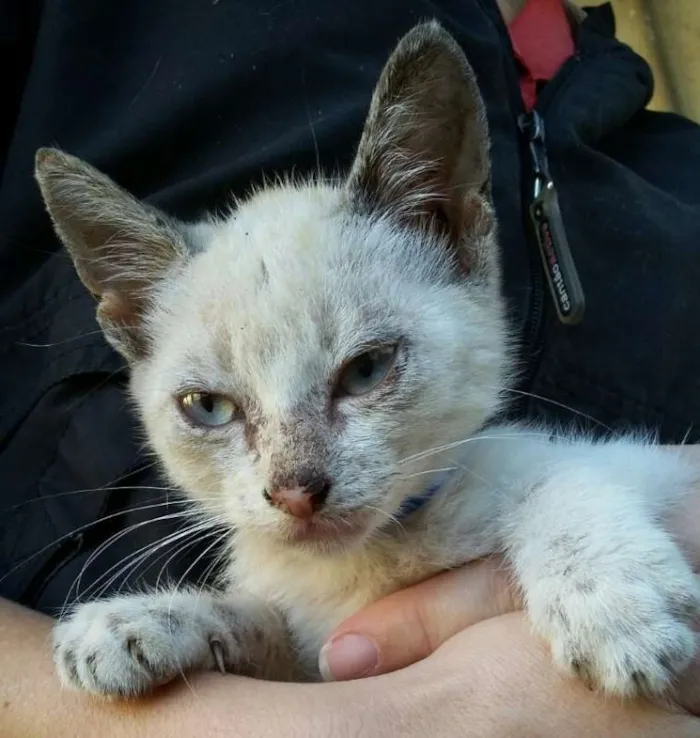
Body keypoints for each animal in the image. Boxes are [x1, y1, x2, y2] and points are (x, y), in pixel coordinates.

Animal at [37, 21, 700, 700]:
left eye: (366, 370)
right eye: (209, 408)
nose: (295, 494)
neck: (365, 566)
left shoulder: (647, 467)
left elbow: (559, 472)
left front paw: (614, 606)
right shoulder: (312, 658)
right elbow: (256, 618)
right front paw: (134, 622)